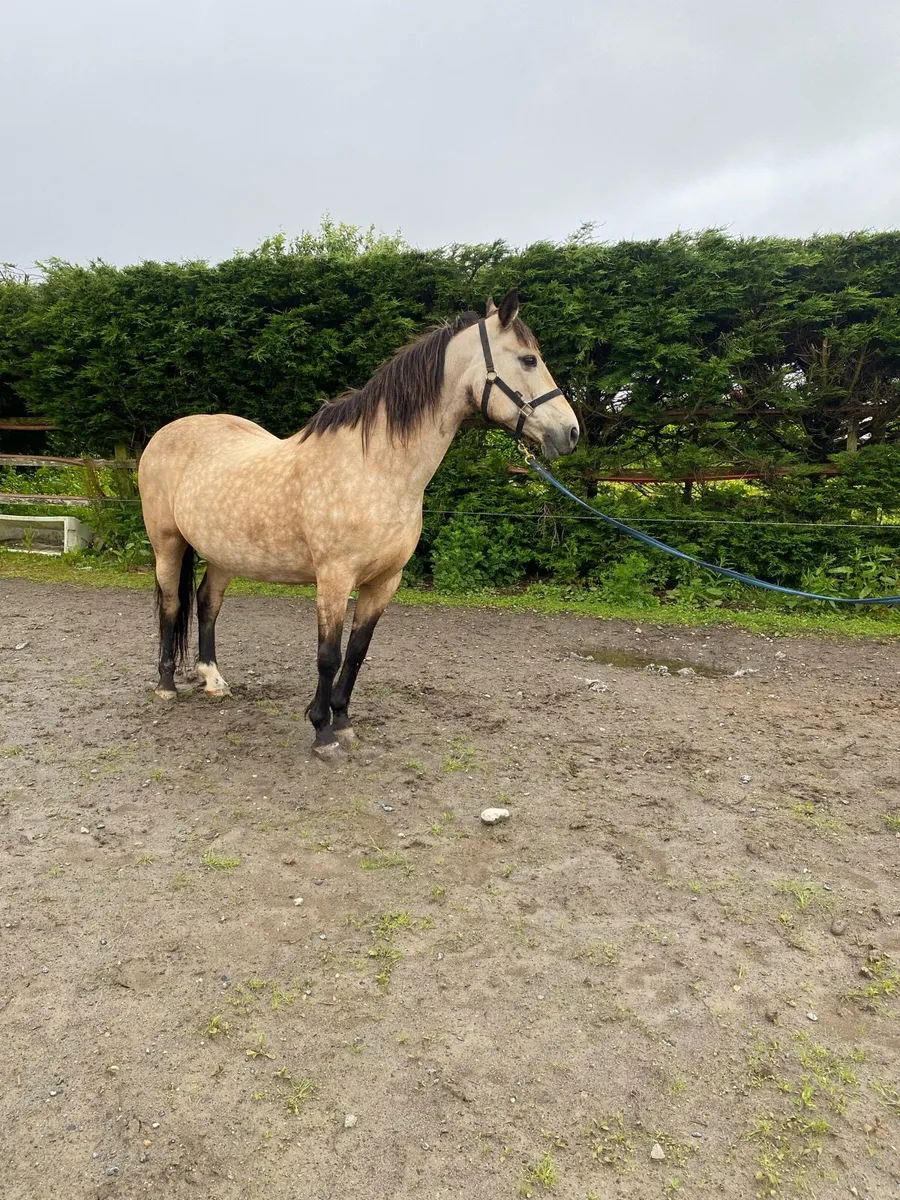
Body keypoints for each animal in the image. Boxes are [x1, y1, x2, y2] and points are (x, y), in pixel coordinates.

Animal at [137, 288, 579, 757]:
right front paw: (322, 731)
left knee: (207, 603)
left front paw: (344, 721)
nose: (570, 433)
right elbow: (328, 655)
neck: (377, 469)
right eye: (529, 359)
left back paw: (214, 680)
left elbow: (356, 653)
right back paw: (166, 685)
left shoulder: (384, 581)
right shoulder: (334, 578)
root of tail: (167, 433)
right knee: (172, 604)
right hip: (167, 543)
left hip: (225, 553)